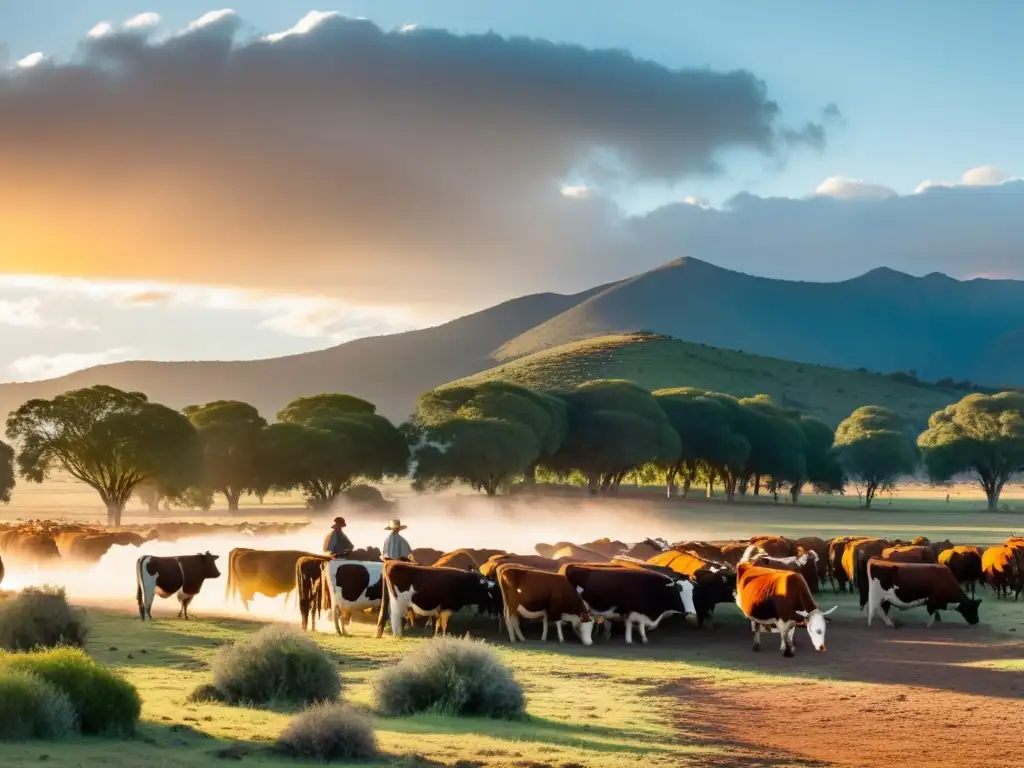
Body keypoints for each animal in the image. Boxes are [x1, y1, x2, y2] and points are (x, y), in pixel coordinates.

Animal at [561, 561, 696, 647]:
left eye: (692, 591)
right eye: (678, 590)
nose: (691, 613)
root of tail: (571, 566)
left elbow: (638, 625)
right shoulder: (634, 610)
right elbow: (635, 625)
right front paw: (634, 639)